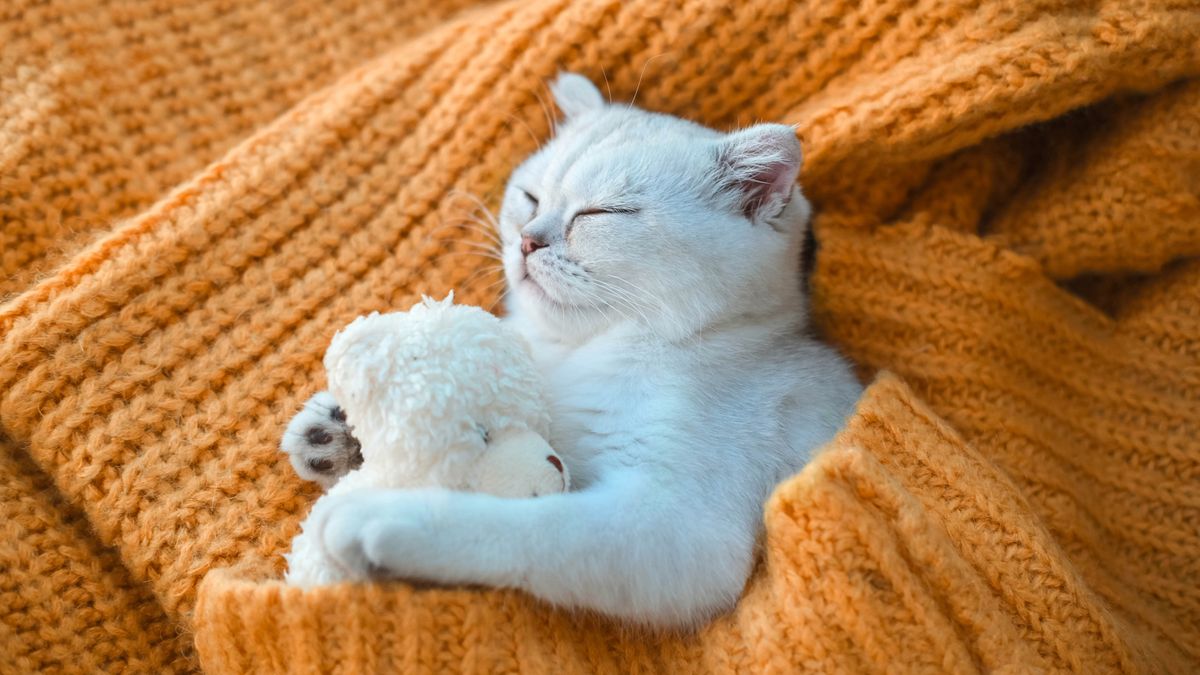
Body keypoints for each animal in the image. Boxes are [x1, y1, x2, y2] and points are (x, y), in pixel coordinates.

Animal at [280, 73, 864, 624]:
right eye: (530, 198)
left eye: (601, 213)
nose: (527, 240)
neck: (580, 352)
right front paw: (340, 430)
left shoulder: (675, 529)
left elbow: (530, 527)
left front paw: (386, 516)